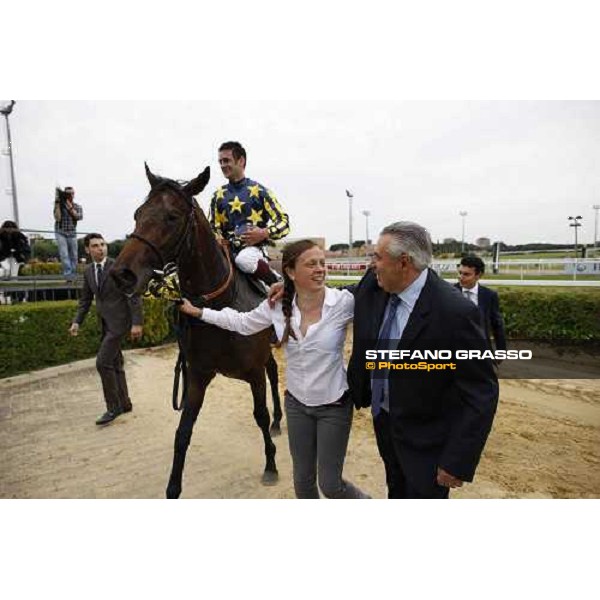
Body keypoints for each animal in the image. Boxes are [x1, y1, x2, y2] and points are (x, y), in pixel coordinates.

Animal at [112, 163, 282, 496]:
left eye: (171, 216)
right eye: (138, 213)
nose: (121, 273)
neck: (221, 305)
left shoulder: (252, 372)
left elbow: (260, 414)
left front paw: (271, 465)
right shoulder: (197, 375)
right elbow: (183, 432)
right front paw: (172, 488)